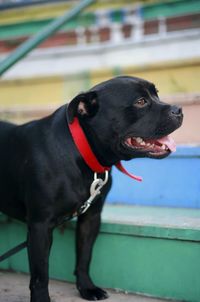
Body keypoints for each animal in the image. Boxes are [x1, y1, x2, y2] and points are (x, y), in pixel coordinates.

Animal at [0, 75, 183, 300]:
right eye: (141, 102)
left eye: (156, 95)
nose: (178, 109)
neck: (81, 151)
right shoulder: (40, 226)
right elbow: (40, 274)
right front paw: (42, 298)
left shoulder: (91, 218)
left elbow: (84, 257)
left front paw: (87, 287)